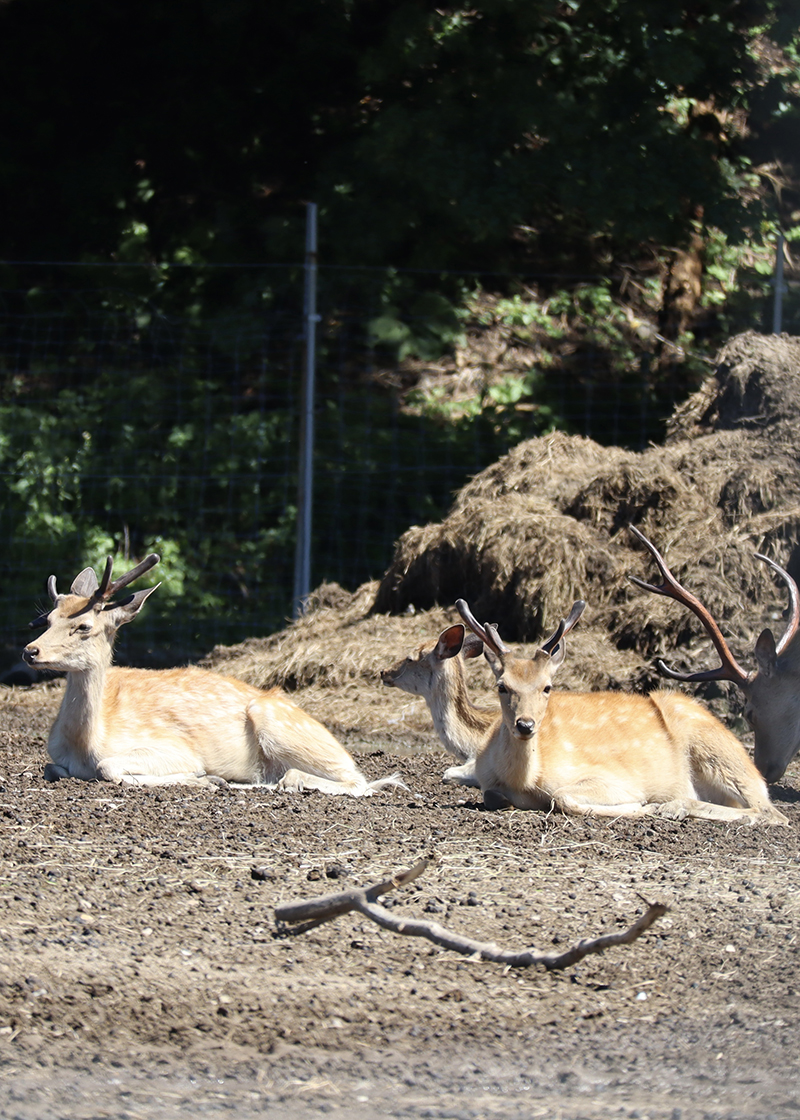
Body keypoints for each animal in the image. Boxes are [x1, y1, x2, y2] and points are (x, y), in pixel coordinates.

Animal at [23, 553, 405, 797]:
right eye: (48, 620)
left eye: (84, 626)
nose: (30, 651)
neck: (86, 744)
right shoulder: (57, 758)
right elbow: (50, 768)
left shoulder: (174, 748)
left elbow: (109, 769)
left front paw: (202, 778)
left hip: (280, 723)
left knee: (357, 781)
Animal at [448, 600, 784, 828]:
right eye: (502, 686)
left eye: (547, 687)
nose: (525, 725)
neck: (525, 780)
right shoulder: (487, 780)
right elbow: (491, 795)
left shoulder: (613, 779)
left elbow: (562, 797)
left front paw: (642, 806)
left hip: (719, 753)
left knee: (771, 811)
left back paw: (673, 806)